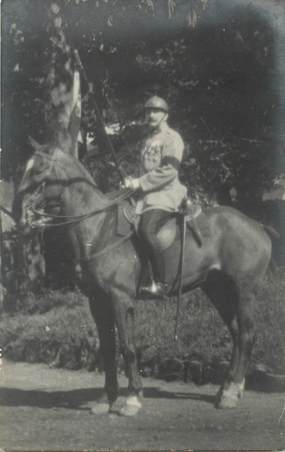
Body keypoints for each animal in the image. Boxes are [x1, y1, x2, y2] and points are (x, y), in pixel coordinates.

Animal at [12, 144, 270, 416]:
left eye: (39, 170)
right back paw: (228, 389)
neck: (98, 228)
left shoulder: (121, 299)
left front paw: (133, 398)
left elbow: (128, 347)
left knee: (247, 335)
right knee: (237, 334)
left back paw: (231, 393)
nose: (18, 210)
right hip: (218, 290)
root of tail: (257, 225)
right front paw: (106, 399)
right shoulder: (98, 302)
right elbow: (108, 349)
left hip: (243, 291)